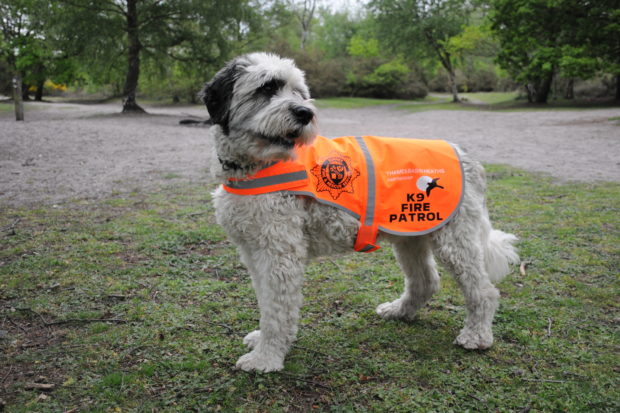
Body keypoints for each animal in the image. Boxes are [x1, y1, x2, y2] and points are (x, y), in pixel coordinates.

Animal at [202, 51, 520, 370]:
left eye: (299, 93)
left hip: (455, 241)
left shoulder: (279, 254)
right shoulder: (253, 250)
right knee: (425, 282)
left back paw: (477, 336)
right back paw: (399, 311)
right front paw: (262, 342)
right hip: (412, 236)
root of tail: (466, 156)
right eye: (267, 88)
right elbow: (266, 302)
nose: (305, 113)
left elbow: (276, 310)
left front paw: (266, 357)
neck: (254, 166)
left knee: (483, 290)